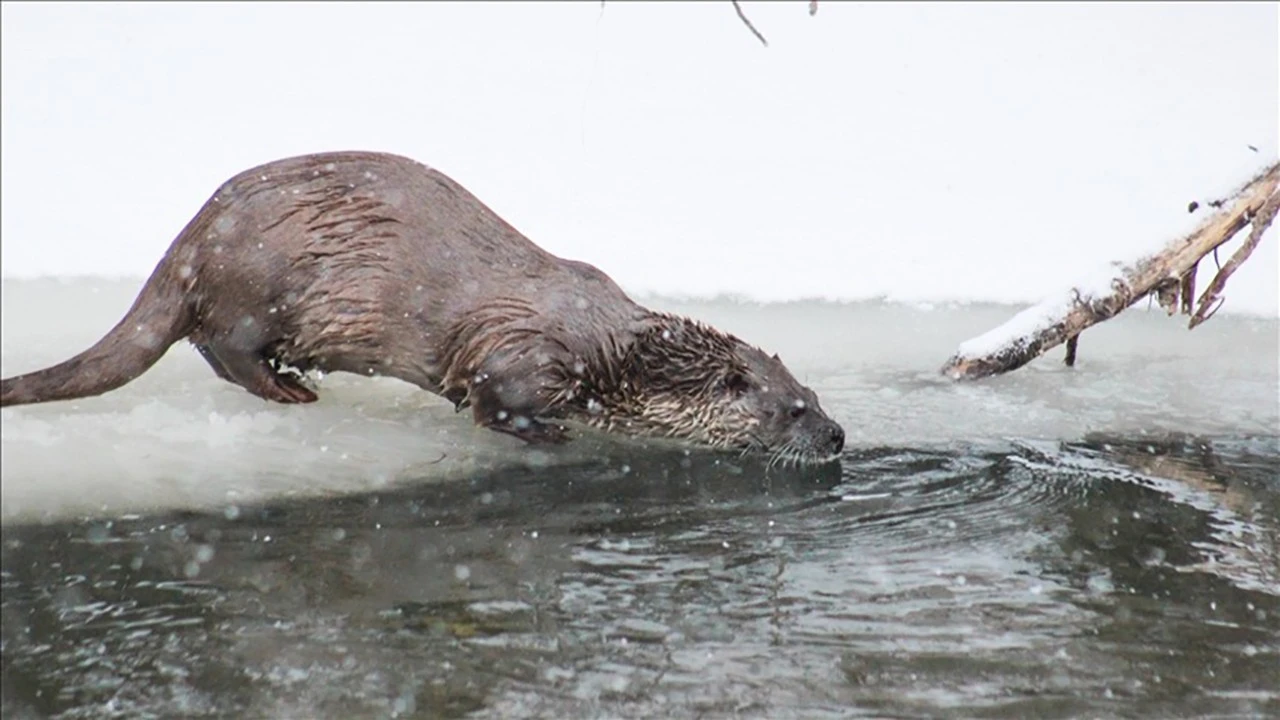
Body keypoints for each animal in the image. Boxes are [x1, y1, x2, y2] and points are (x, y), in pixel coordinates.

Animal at [2, 152, 849, 466]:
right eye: (792, 410)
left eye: (813, 392)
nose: (839, 434)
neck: (612, 355)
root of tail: (191, 237)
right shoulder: (524, 357)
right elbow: (490, 402)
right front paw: (548, 434)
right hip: (255, 287)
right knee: (223, 347)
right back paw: (291, 388)